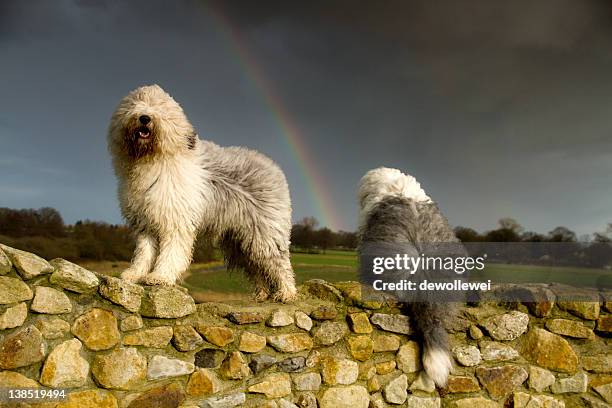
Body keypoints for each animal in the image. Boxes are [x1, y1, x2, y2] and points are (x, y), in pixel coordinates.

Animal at [108, 84, 298, 302]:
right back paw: (261, 294)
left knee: (279, 263)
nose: (144, 117)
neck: (153, 160)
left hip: (265, 233)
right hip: (240, 240)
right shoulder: (145, 223)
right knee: (256, 267)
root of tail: (274, 168)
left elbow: (171, 252)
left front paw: (160, 277)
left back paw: (287, 292)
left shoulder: (175, 221)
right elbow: (144, 253)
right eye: (135, 104)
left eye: (160, 108)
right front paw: (135, 274)